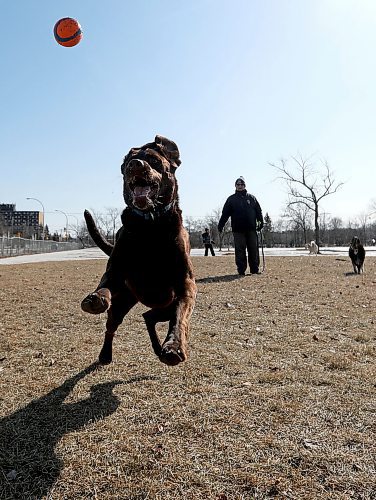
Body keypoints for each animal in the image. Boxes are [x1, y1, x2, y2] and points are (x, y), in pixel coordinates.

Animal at [80, 137, 195, 368]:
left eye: (153, 159)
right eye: (127, 162)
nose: (135, 165)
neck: (149, 227)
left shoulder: (185, 286)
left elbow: (180, 317)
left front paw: (174, 346)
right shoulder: (116, 271)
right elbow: (105, 284)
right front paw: (95, 298)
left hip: (164, 307)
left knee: (150, 316)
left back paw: (159, 348)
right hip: (123, 301)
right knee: (115, 325)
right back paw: (105, 354)